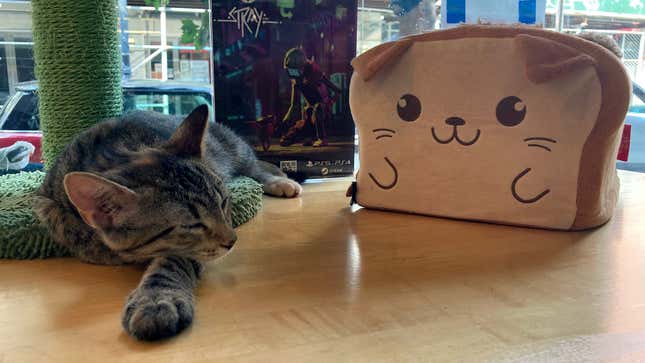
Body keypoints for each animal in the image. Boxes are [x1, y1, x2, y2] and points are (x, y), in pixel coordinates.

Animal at [36, 105, 304, 342]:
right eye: (192, 225)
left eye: (224, 202)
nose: (232, 240)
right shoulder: (44, 201)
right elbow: (69, 228)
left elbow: (172, 262)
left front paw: (156, 299)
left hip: (234, 147)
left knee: (255, 166)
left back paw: (280, 180)